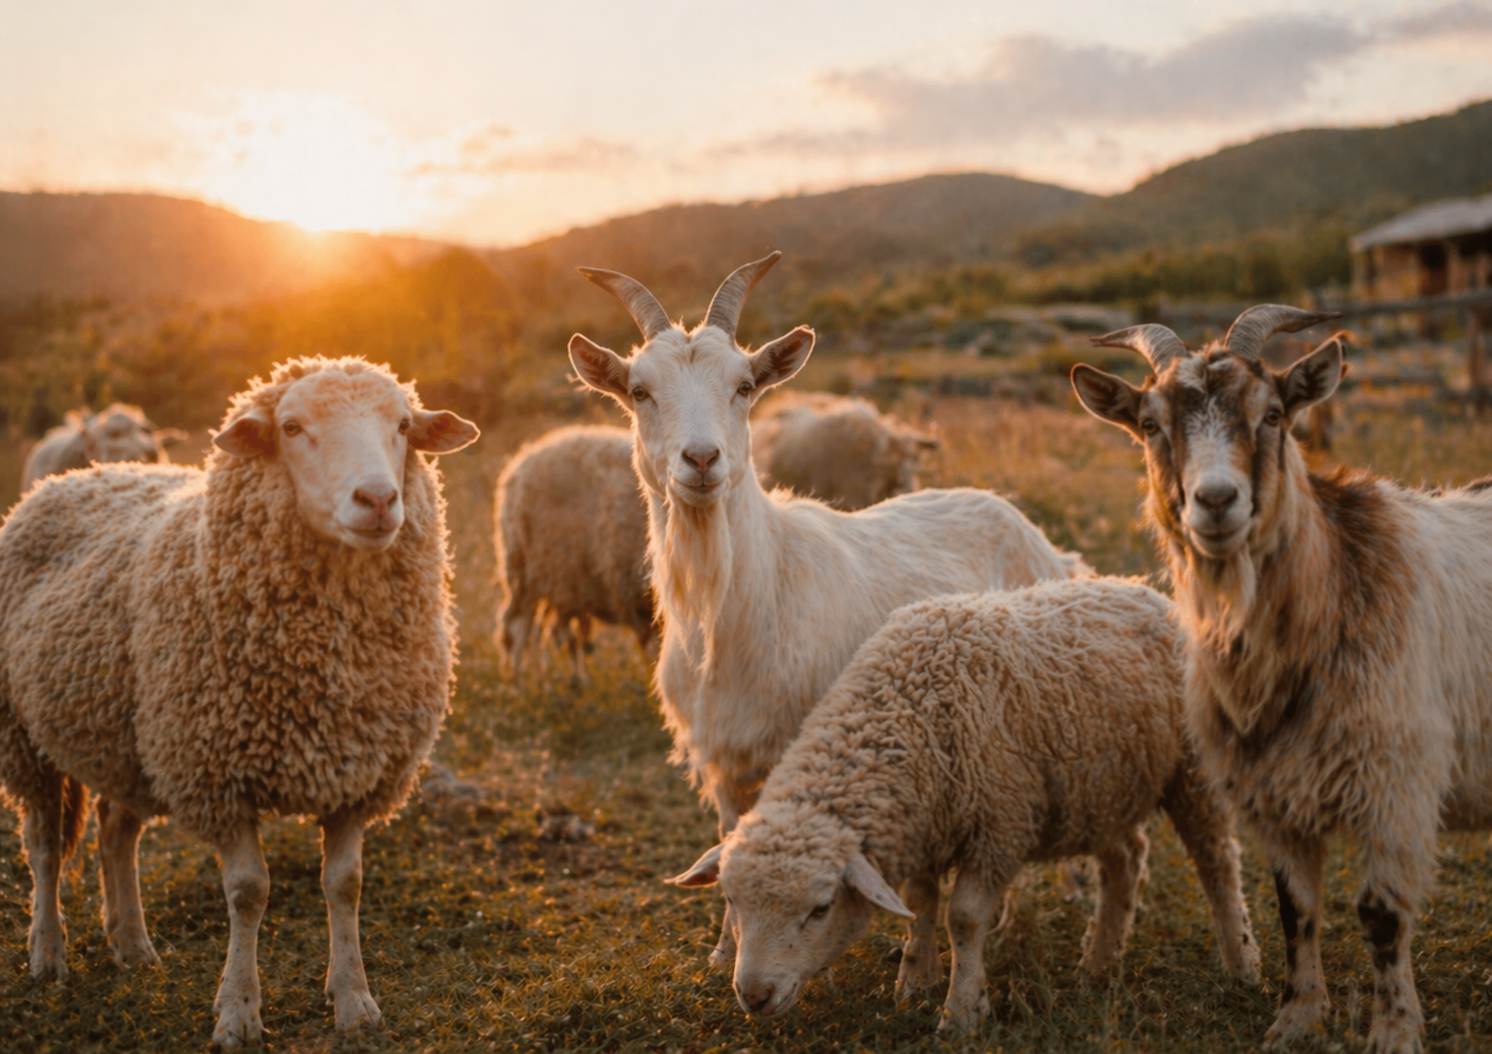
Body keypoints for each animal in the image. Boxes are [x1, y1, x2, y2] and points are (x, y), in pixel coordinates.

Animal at [494, 425, 655, 686]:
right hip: (533, 572)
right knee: (517, 628)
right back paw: (518, 682)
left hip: (563, 582)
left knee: (559, 633)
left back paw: (573, 679)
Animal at [670, 577, 1261, 1030]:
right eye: (732, 902)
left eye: (819, 909)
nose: (754, 996)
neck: (906, 712)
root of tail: (1146, 592)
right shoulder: (926, 823)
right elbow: (921, 902)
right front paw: (915, 981)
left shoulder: (999, 827)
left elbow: (965, 919)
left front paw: (961, 1010)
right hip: (1100, 789)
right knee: (1125, 862)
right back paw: (1098, 962)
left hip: (1192, 772)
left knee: (1218, 865)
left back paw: (1243, 966)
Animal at [1070, 305, 1492, 1054]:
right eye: (1150, 423)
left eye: (1272, 414)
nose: (1215, 501)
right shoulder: (1274, 791)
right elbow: (1294, 908)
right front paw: (1296, 1018)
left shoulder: (1397, 785)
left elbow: (1381, 915)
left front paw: (1393, 1030)